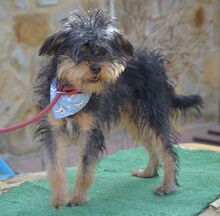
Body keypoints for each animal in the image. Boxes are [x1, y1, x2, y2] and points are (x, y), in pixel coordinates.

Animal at [33, 9, 204, 208]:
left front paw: (78, 197)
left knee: (166, 148)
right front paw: (59, 198)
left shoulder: (91, 131)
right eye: (81, 50)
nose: (97, 67)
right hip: (132, 119)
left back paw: (167, 186)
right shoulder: (53, 130)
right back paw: (149, 172)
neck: (70, 91)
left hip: (153, 113)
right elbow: (55, 166)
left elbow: (84, 165)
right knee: (151, 143)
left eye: (103, 51)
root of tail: (156, 61)